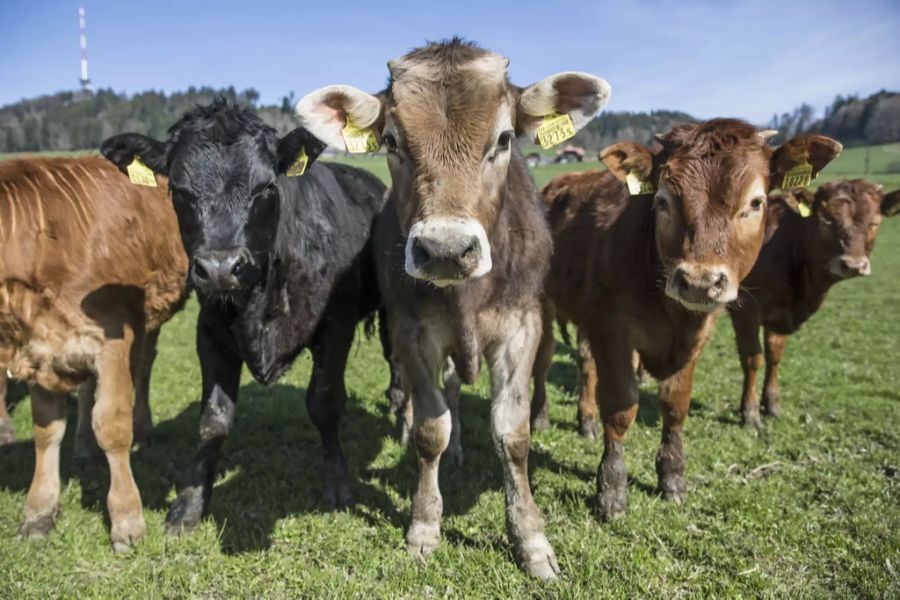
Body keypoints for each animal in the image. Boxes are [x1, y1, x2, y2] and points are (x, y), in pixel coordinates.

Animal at [0, 157, 186, 552]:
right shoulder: (39, 343)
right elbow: (46, 432)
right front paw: (39, 512)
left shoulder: (113, 337)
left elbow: (112, 426)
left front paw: (127, 519)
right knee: (88, 390)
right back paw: (83, 448)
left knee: (143, 368)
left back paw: (144, 428)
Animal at [298, 38, 608, 576]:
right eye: (392, 141)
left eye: (505, 138)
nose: (445, 250)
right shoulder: (413, 331)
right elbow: (430, 428)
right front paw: (424, 525)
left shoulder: (522, 326)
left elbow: (512, 433)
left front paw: (531, 539)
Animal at [532, 120, 840, 520]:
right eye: (663, 201)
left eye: (756, 202)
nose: (699, 281)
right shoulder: (610, 331)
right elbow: (621, 407)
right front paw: (612, 489)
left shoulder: (696, 335)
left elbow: (676, 405)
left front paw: (672, 476)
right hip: (543, 305)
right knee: (542, 361)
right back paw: (539, 415)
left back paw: (585, 422)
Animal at [728, 180, 896, 428]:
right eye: (826, 219)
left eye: (874, 222)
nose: (853, 265)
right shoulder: (746, 310)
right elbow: (752, 358)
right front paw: (750, 413)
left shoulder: (780, 312)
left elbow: (774, 355)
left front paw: (772, 405)